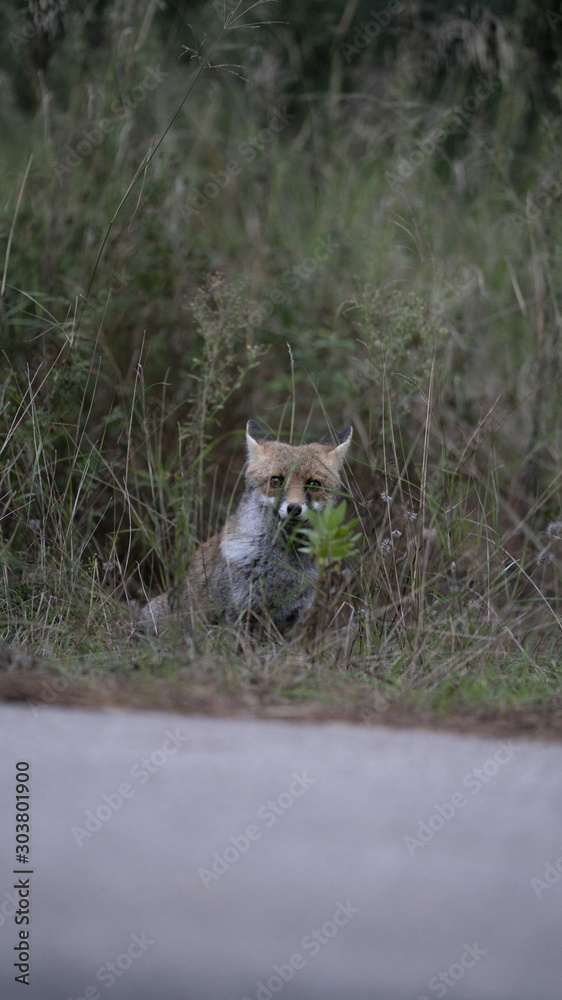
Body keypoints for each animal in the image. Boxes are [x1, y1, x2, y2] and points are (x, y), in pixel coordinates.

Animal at [138, 419, 353, 636]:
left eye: (313, 484)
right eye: (276, 481)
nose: (294, 508)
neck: (282, 566)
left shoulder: (290, 617)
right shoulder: (237, 613)